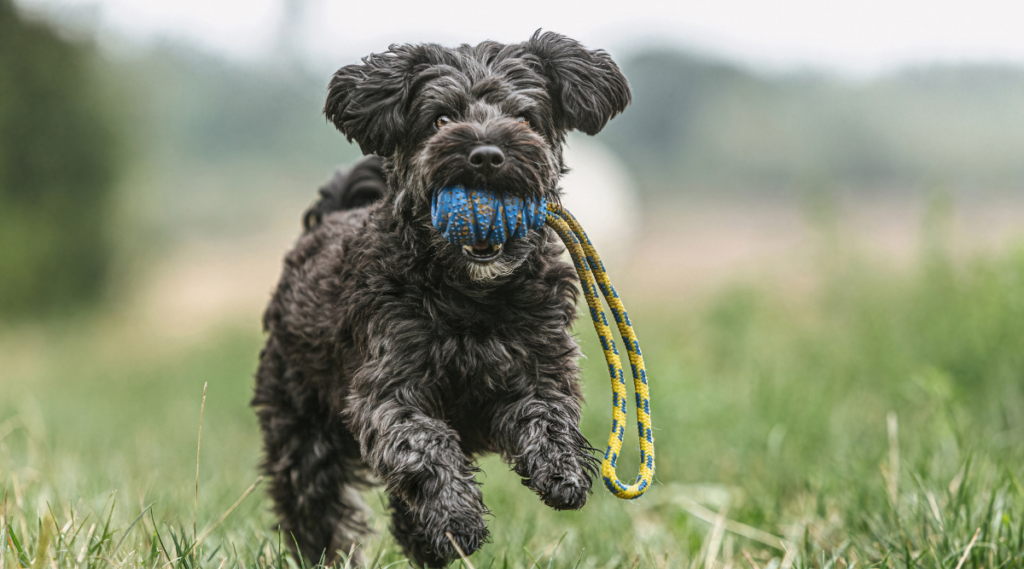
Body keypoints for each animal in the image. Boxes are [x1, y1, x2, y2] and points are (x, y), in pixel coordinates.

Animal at [249, 32, 630, 569]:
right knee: (313, 502)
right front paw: (457, 517)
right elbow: (424, 445)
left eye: (525, 118)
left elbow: (548, 414)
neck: (472, 297)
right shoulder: (388, 389)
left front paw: (564, 471)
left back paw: (424, 539)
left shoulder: (540, 365)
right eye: (441, 119)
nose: (487, 154)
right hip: (302, 424)